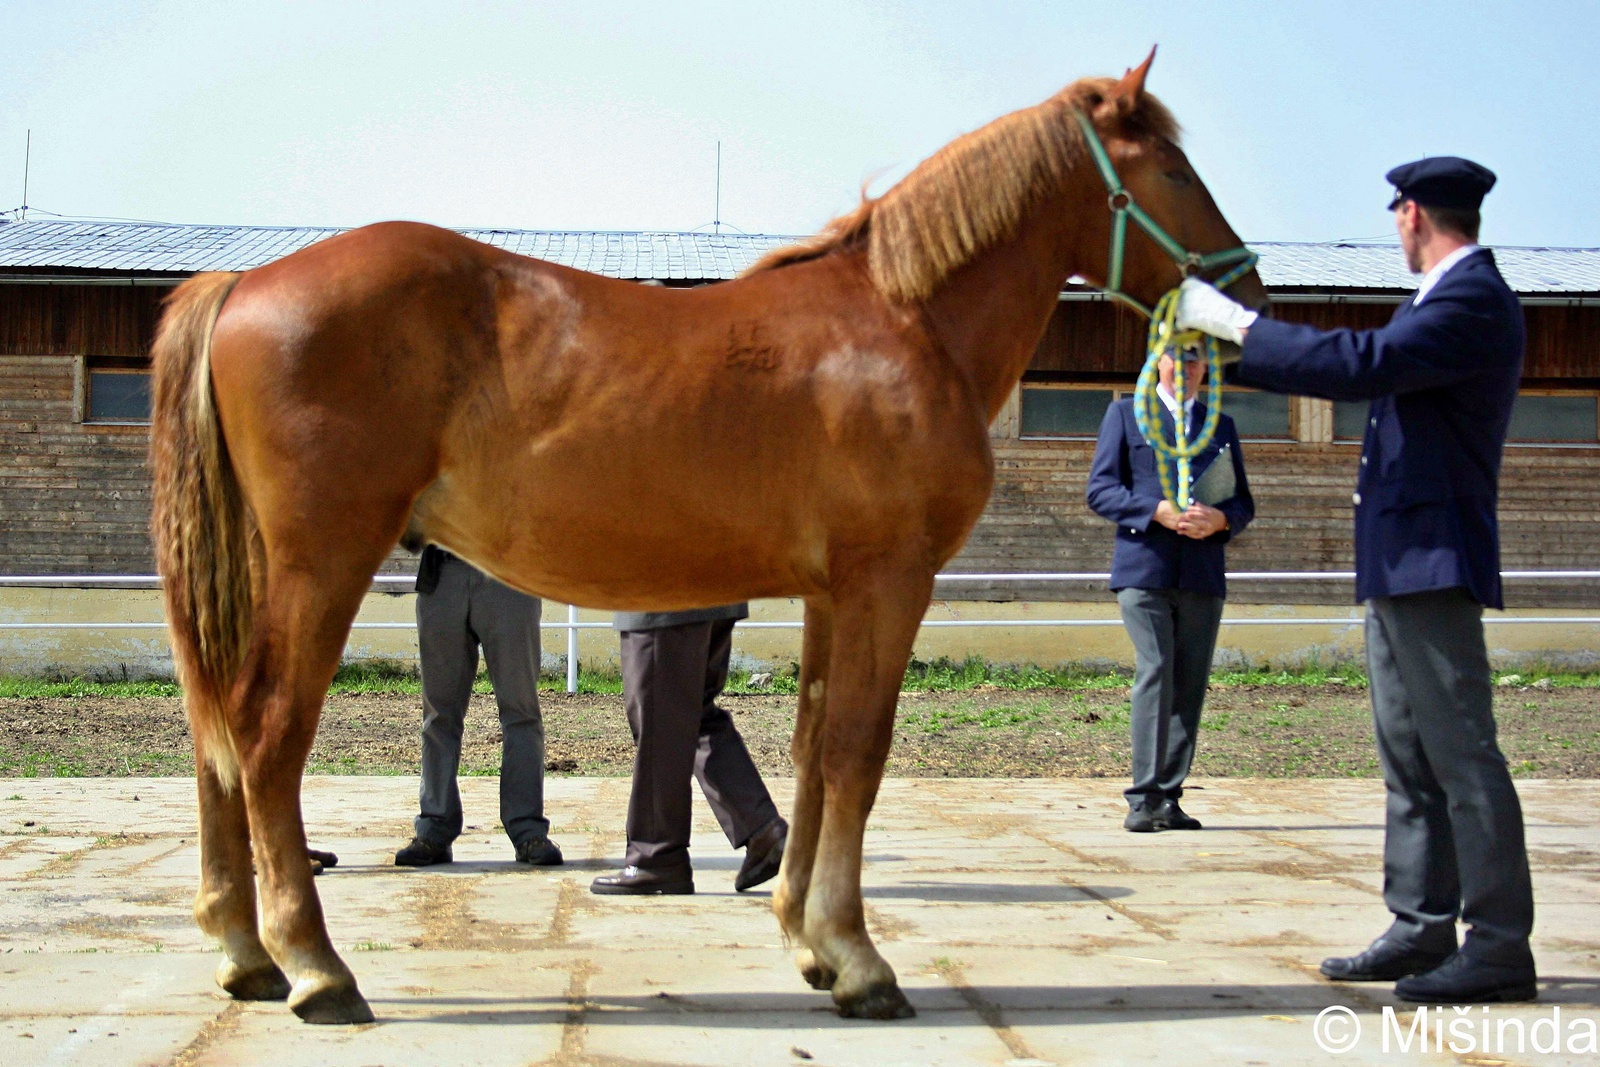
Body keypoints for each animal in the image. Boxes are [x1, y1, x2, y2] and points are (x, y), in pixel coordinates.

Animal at [147, 51, 1260, 1023]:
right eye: (1172, 167)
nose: (1248, 292)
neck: (907, 324)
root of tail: (245, 286)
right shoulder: (888, 580)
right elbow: (858, 750)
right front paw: (860, 960)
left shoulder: (830, 592)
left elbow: (813, 747)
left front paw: (811, 940)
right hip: (322, 561)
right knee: (265, 730)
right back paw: (315, 967)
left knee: (217, 732)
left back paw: (245, 954)